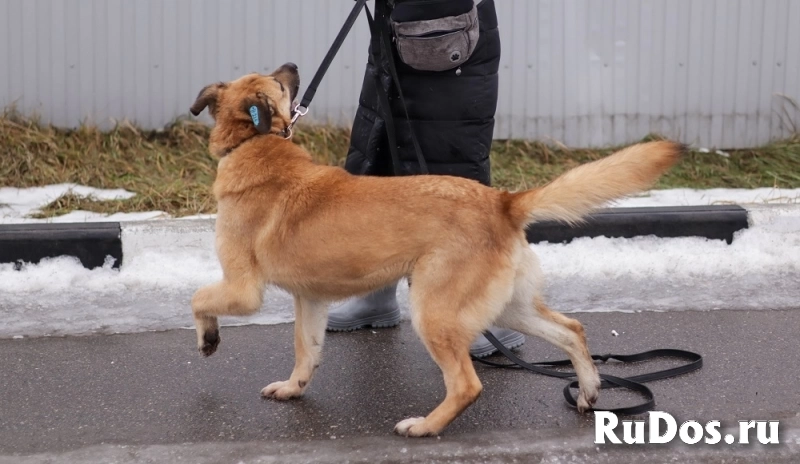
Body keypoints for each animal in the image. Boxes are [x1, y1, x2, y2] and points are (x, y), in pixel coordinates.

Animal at [189, 63, 680, 436]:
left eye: (277, 81)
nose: (291, 65)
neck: (253, 142)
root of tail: (503, 201)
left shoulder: (243, 290)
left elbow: (198, 299)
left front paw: (209, 339)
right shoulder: (310, 301)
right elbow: (305, 353)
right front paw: (293, 388)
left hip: (434, 313)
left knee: (467, 385)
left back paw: (425, 426)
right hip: (507, 308)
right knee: (572, 330)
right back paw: (590, 390)